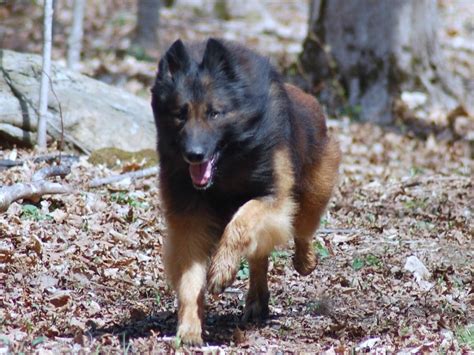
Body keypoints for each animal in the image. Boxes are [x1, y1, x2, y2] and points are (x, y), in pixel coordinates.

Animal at [152, 38, 340, 344]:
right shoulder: (190, 220)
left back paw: (305, 261)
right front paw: (189, 328)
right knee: (260, 257)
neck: (228, 164)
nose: (194, 155)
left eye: (214, 113)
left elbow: (240, 223)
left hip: (311, 192)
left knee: (301, 229)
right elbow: (190, 279)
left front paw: (221, 270)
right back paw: (256, 300)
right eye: (180, 114)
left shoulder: (272, 199)